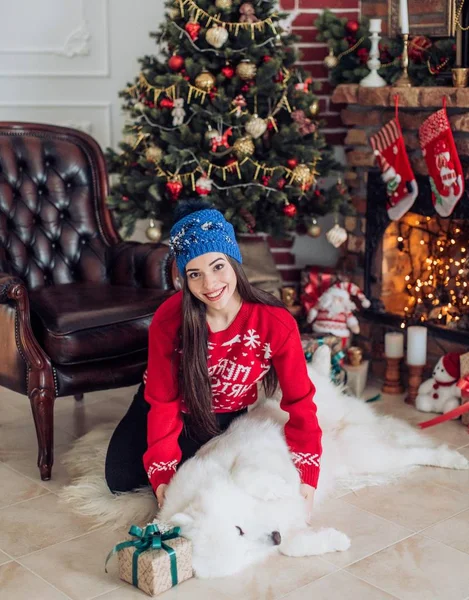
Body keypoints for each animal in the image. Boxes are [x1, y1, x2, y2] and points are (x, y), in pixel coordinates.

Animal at [158, 344, 468, 580]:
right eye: (244, 547)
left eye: (238, 529)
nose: (274, 537)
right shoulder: (289, 528)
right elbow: (293, 546)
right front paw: (336, 541)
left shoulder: (247, 451)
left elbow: (247, 473)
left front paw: (277, 487)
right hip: (366, 454)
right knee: (405, 450)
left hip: (311, 405)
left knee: (309, 381)